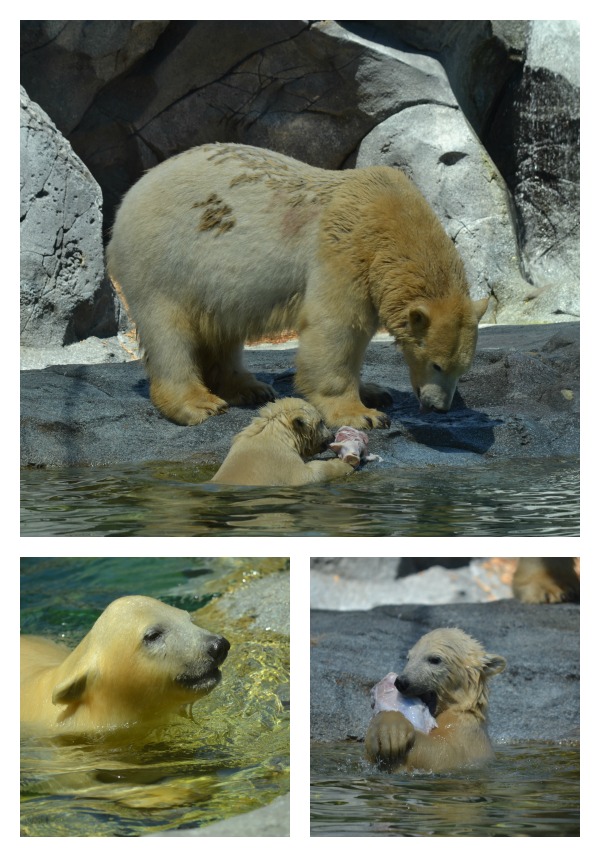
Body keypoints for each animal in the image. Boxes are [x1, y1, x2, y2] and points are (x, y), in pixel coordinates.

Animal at [106, 146, 488, 432]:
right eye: (437, 365)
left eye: (463, 369)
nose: (438, 407)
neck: (392, 219)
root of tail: (130, 196)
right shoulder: (342, 252)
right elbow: (337, 330)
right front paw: (362, 414)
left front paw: (375, 392)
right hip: (163, 256)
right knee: (168, 329)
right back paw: (198, 404)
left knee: (222, 327)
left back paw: (251, 388)